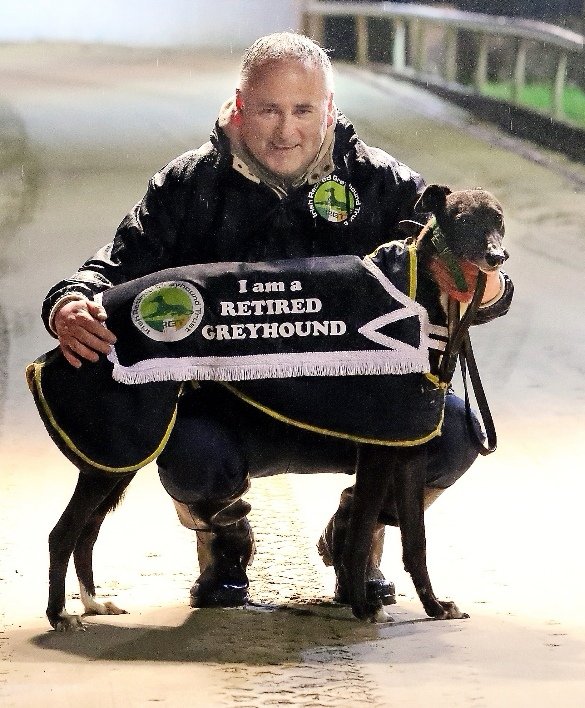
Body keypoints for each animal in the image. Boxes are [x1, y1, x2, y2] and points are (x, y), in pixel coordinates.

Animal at [43, 184, 506, 632]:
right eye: (463, 220)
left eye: (498, 220)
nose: (497, 257)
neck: (421, 287)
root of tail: (95, 315)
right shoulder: (378, 447)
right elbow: (358, 538)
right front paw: (364, 609)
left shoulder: (409, 447)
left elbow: (415, 541)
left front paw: (434, 606)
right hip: (120, 450)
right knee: (62, 533)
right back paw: (60, 615)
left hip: (124, 457)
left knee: (86, 531)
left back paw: (92, 602)